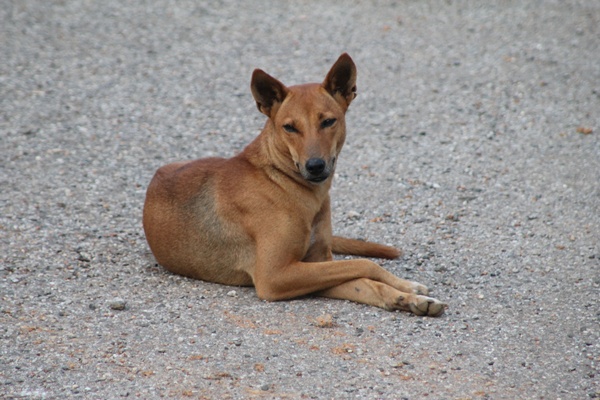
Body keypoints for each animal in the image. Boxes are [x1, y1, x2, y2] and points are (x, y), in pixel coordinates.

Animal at [143, 54, 446, 316]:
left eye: (328, 121)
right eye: (289, 127)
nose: (315, 166)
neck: (288, 185)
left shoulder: (315, 264)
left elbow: (363, 279)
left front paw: (407, 297)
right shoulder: (275, 276)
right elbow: (365, 263)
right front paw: (407, 287)